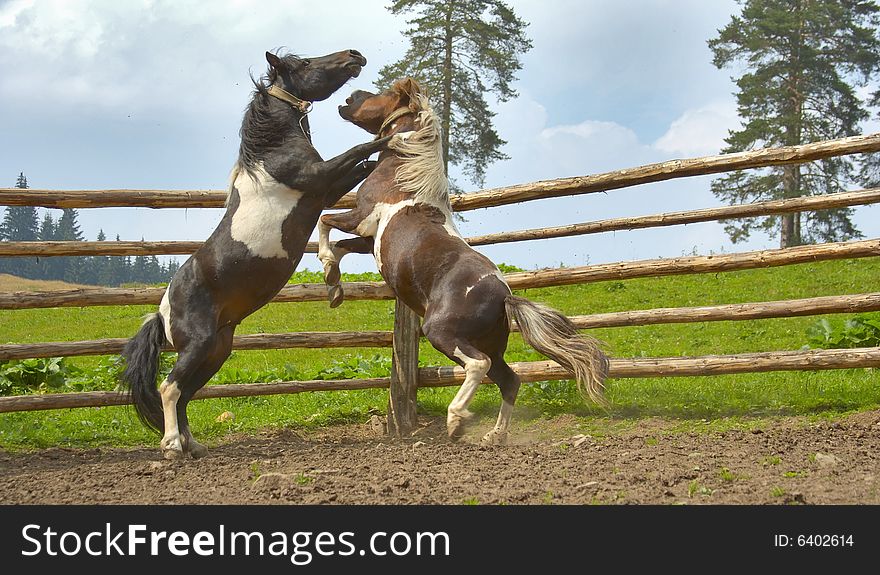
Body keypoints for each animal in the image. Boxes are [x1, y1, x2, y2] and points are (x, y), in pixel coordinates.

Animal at [121, 50, 392, 464]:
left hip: (216, 351)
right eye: (306, 63)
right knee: (170, 388)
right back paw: (172, 447)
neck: (271, 153)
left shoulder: (327, 191)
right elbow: (360, 152)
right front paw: (395, 135)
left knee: (185, 394)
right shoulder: (319, 177)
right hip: (199, 346)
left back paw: (193, 445)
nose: (354, 55)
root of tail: (162, 311)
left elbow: (364, 165)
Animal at [318, 77, 612, 446]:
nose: (350, 97)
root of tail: (504, 295)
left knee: (478, 366)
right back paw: (494, 436)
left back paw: (456, 420)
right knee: (510, 379)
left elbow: (325, 222)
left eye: (385, 93)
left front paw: (326, 268)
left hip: (442, 332)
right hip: (491, 344)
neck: (403, 175)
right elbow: (340, 247)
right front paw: (333, 286)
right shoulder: (369, 239)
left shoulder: (362, 218)